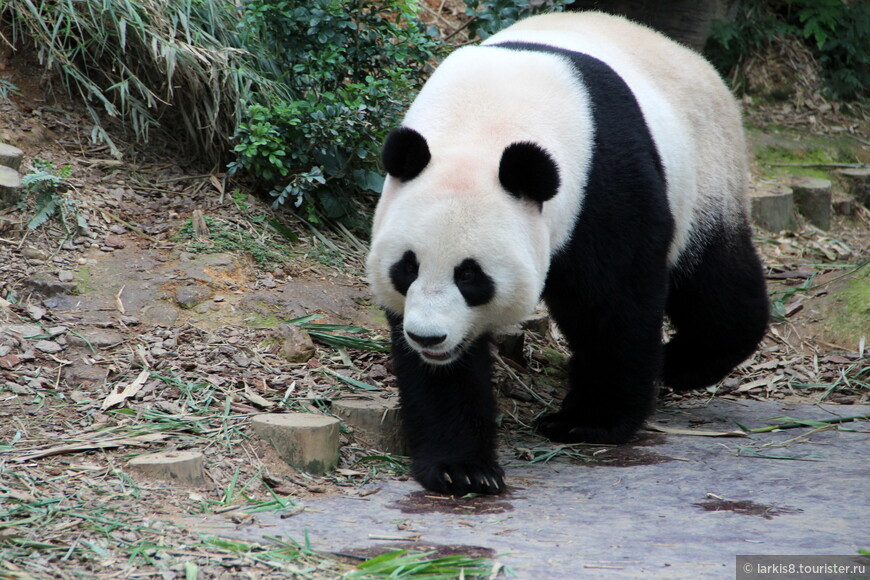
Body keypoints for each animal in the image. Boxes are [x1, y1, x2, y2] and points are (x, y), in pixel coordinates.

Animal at [366, 11, 768, 496]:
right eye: (406, 268)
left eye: (470, 276)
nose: (428, 337)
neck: (484, 124)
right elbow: (442, 371)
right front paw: (461, 468)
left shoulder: (603, 180)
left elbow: (612, 306)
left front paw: (587, 422)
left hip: (707, 173)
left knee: (714, 284)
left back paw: (681, 364)